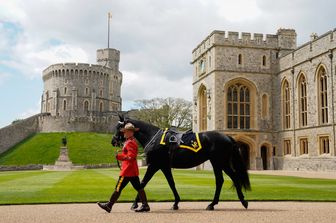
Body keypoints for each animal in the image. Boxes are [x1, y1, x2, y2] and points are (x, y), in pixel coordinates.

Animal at [111, 115, 251, 211]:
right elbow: (171, 183)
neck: (153, 137)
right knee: (224, 179)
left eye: (120, 128)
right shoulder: (164, 166)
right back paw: (218, 203)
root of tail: (227, 137)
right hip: (218, 162)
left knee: (230, 178)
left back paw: (237, 202)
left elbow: (143, 182)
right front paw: (176, 203)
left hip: (219, 161)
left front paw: (135, 204)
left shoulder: (154, 165)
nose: (113, 141)